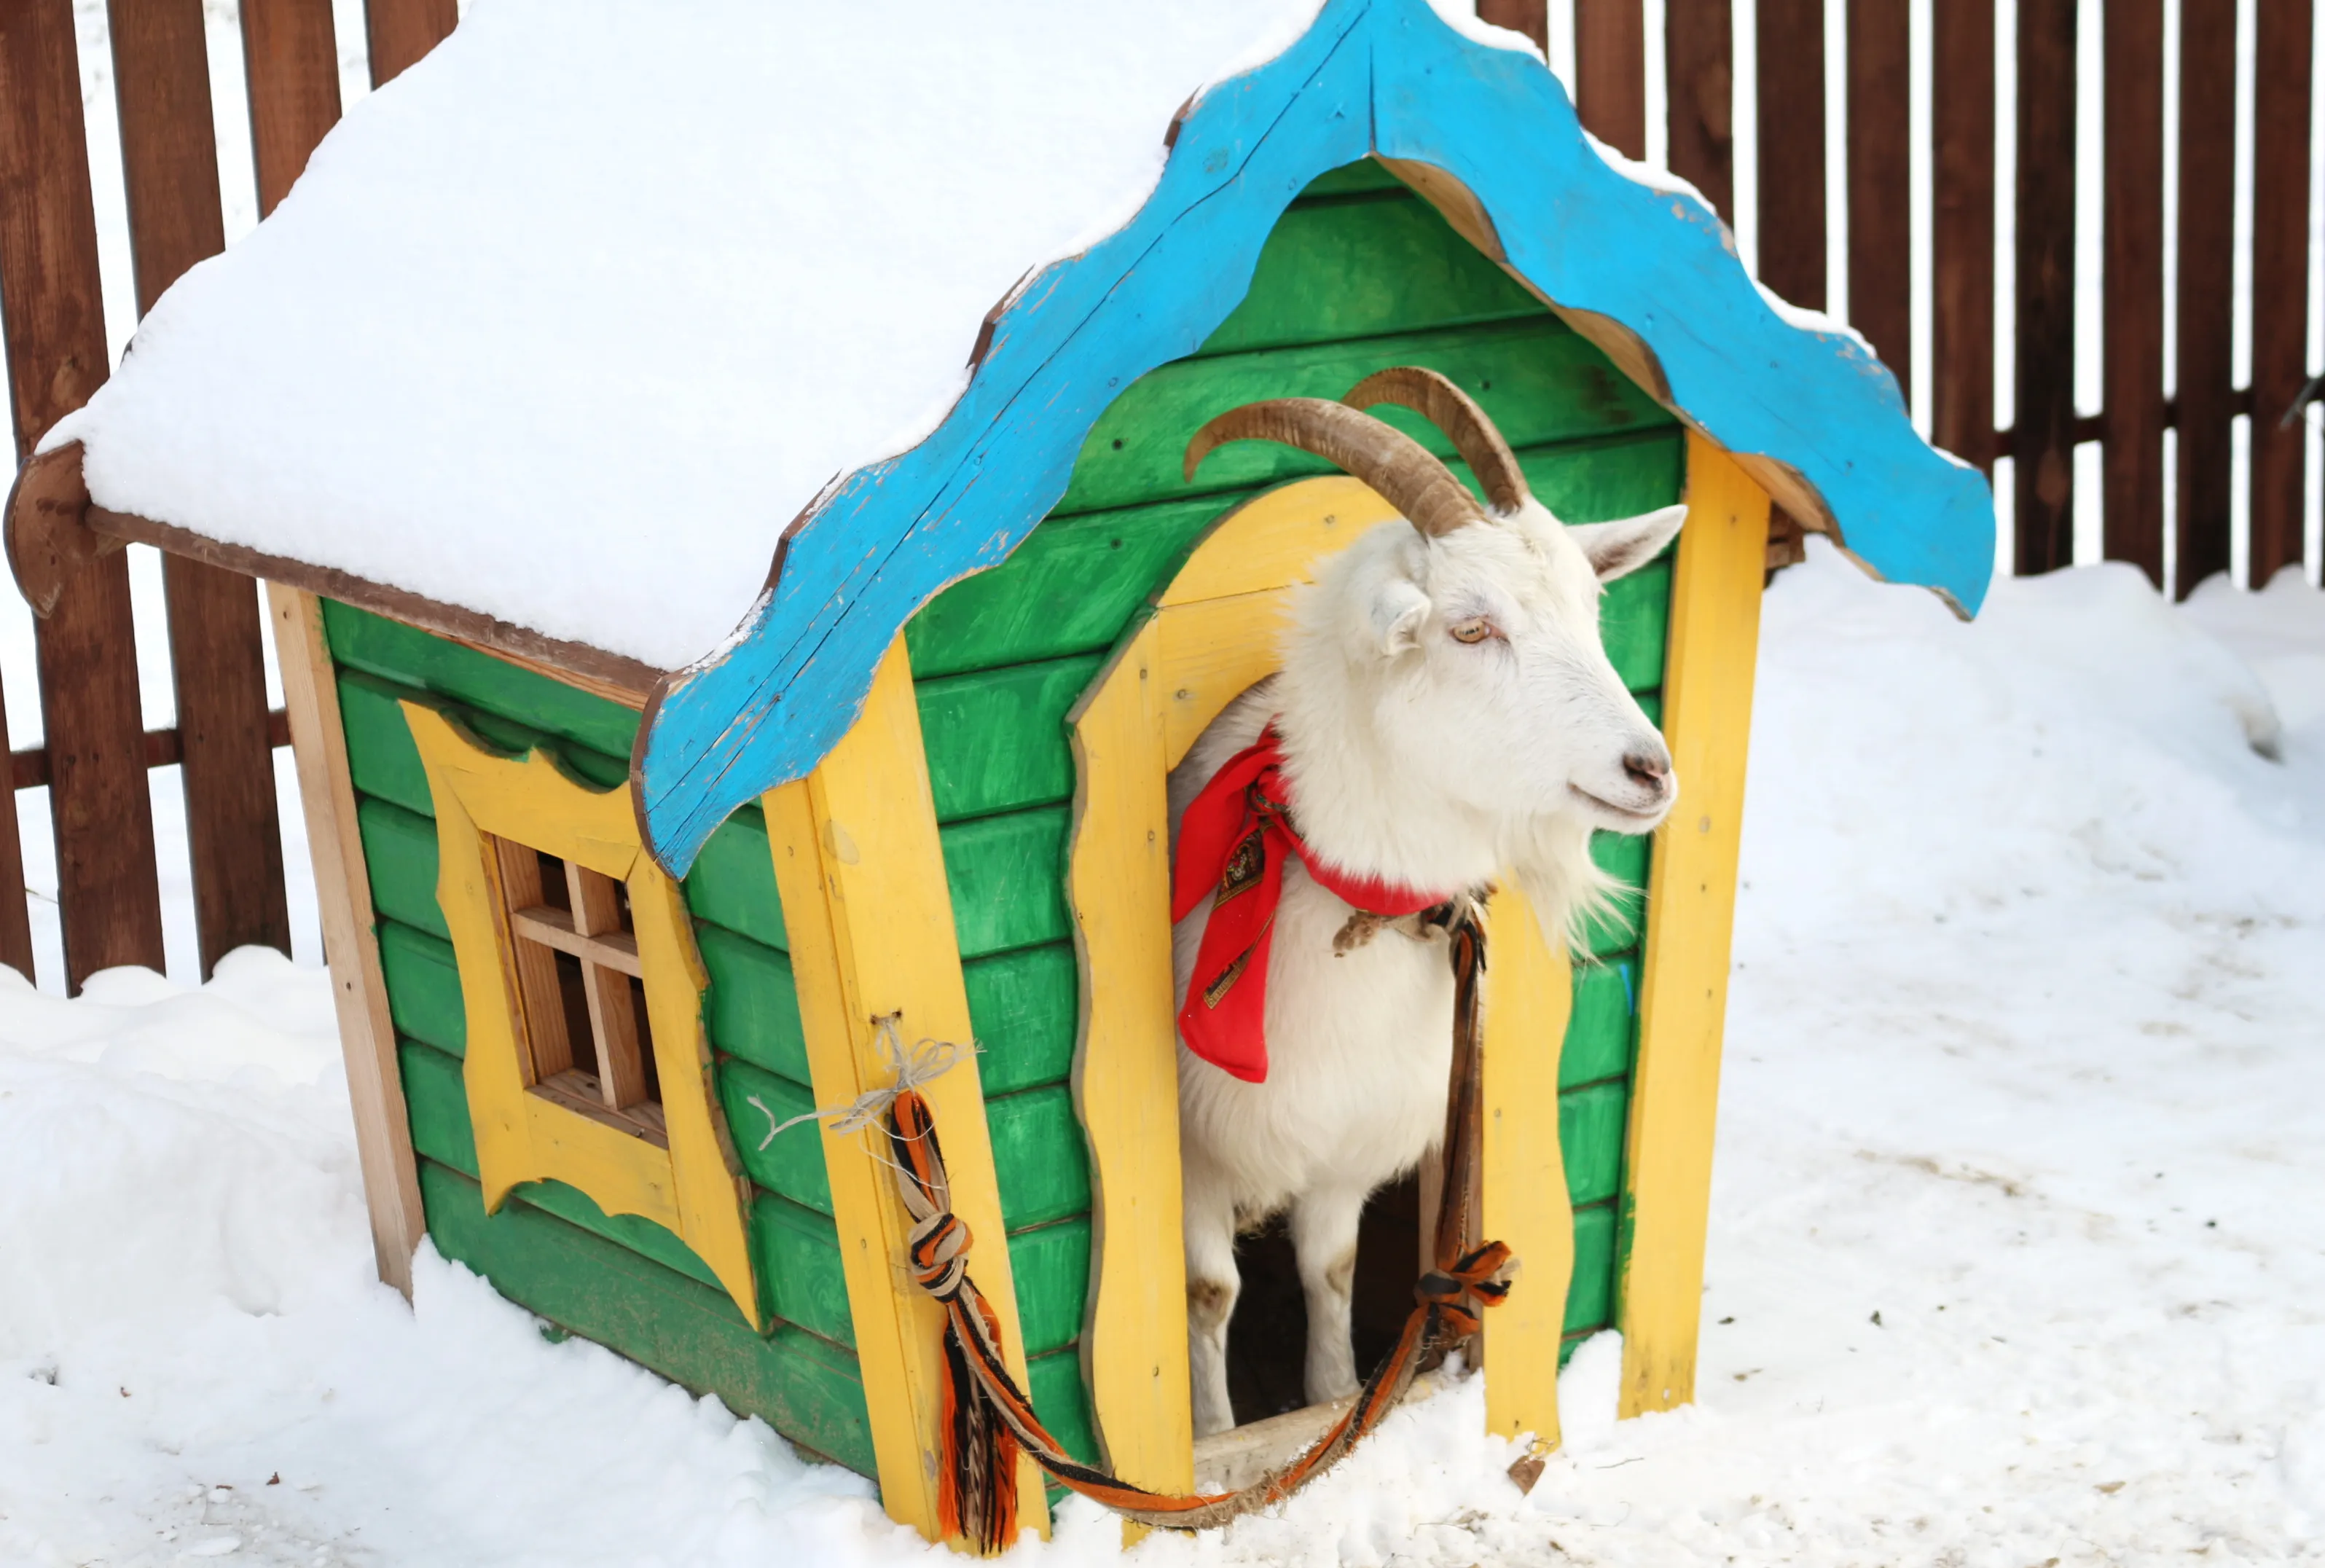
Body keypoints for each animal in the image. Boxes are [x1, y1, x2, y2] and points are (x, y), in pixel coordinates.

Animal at [1170, 368, 1687, 1437]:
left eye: (1590, 610)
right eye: (1469, 627)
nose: (1648, 771)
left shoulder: (1345, 1142)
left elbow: (1329, 1270)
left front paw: (1333, 1407)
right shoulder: (1193, 1151)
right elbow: (1207, 1293)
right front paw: (1215, 1436)